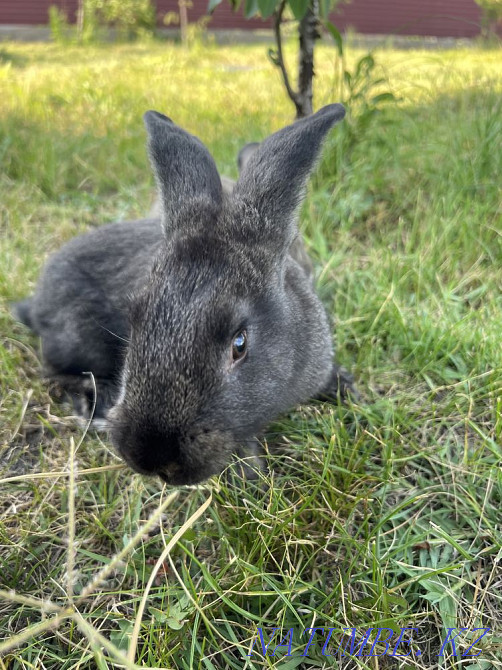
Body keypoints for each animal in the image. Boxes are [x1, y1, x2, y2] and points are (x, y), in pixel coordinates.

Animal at [13, 104, 355, 485]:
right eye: (135, 321)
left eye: (239, 344)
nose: (152, 457)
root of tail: (35, 306)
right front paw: (250, 473)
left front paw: (345, 387)